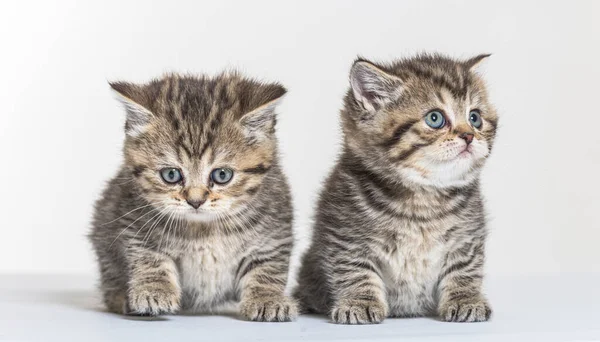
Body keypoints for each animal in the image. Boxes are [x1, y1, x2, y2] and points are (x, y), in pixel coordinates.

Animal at [88, 71, 298, 320]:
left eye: (222, 174)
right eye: (171, 174)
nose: (195, 201)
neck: (204, 230)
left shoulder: (274, 234)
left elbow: (268, 268)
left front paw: (268, 298)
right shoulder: (134, 224)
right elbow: (150, 259)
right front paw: (154, 291)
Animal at [296, 52, 496, 324]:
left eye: (475, 118)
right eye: (435, 118)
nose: (469, 136)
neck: (423, 199)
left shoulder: (467, 238)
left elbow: (465, 270)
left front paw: (466, 299)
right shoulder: (345, 235)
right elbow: (355, 270)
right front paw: (360, 302)